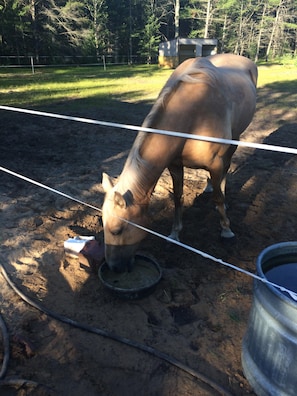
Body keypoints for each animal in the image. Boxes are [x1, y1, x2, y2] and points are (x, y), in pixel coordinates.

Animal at [100, 53, 256, 272]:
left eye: (117, 230)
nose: (114, 268)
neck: (193, 115)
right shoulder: (174, 165)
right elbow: (178, 198)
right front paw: (174, 234)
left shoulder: (215, 163)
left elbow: (218, 197)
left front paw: (226, 230)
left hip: (235, 138)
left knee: (226, 168)